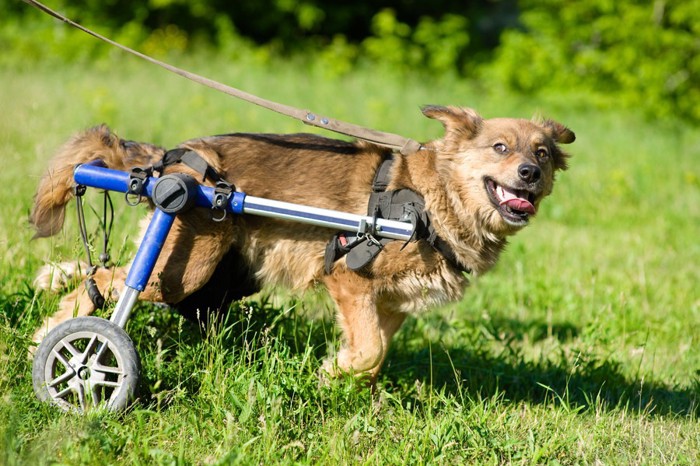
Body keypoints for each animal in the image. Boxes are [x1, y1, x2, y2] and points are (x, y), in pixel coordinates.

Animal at [28, 105, 576, 382]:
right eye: (500, 148)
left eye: (543, 154)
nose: (530, 174)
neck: (432, 199)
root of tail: (176, 160)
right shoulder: (348, 278)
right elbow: (369, 351)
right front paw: (334, 371)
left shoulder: (393, 305)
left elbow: (376, 355)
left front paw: (347, 386)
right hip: (182, 271)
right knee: (109, 278)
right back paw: (56, 339)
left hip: (208, 274)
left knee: (101, 271)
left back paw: (48, 284)